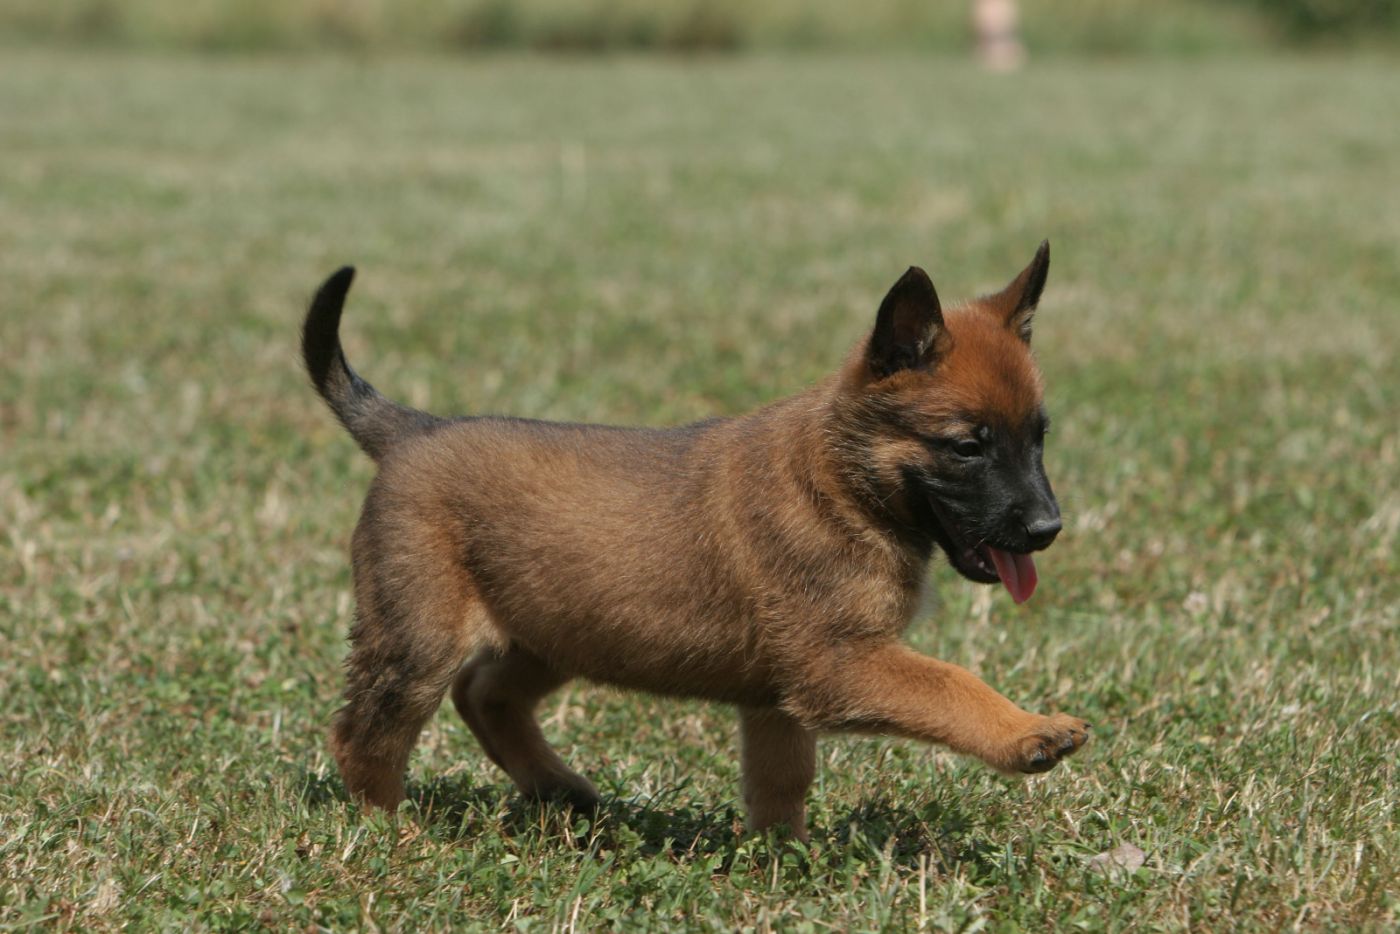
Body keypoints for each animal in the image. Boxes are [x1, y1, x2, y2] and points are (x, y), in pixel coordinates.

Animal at [303, 243, 1092, 840]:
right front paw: (1028, 731)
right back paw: (389, 828)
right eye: (967, 447)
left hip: (556, 629)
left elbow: (780, 781)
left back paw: (559, 788)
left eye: (1039, 439)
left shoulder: (779, 698)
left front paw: (783, 859)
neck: (843, 482)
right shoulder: (839, 666)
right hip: (419, 643)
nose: (1047, 529)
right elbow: (953, 683)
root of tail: (413, 431)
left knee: (483, 696)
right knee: (365, 734)